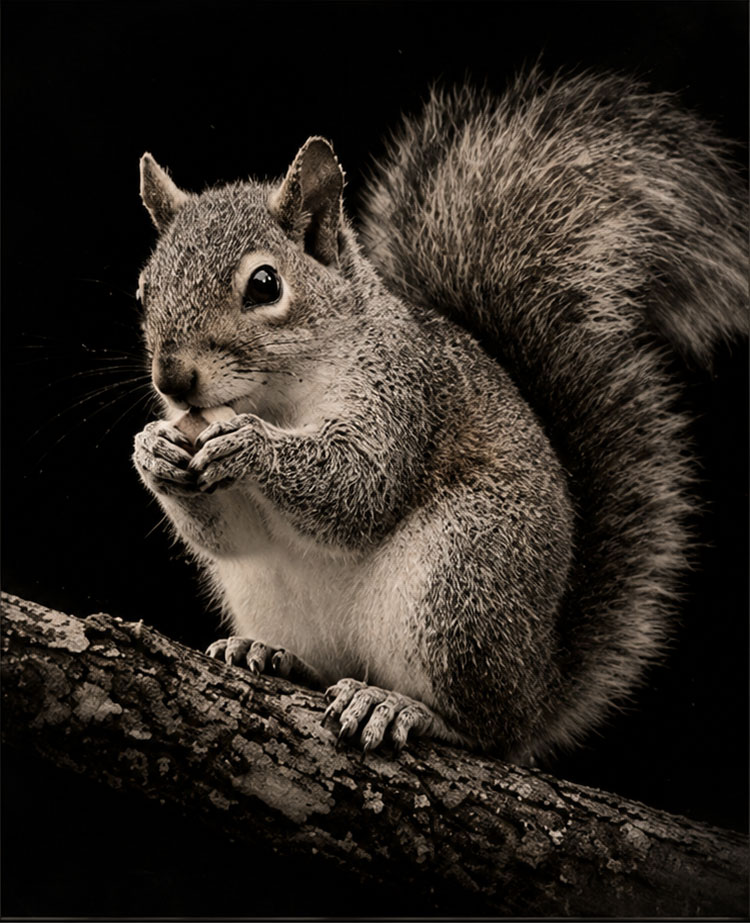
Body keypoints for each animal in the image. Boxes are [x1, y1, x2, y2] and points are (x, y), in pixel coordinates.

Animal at [133, 68, 747, 763]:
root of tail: (537, 685)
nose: (172, 381)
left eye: (265, 285)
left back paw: (401, 705)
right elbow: (230, 536)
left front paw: (250, 446)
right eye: (145, 289)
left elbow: (359, 488)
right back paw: (268, 652)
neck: (275, 396)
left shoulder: (404, 395)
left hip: (460, 581)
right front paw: (153, 449)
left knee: (484, 730)